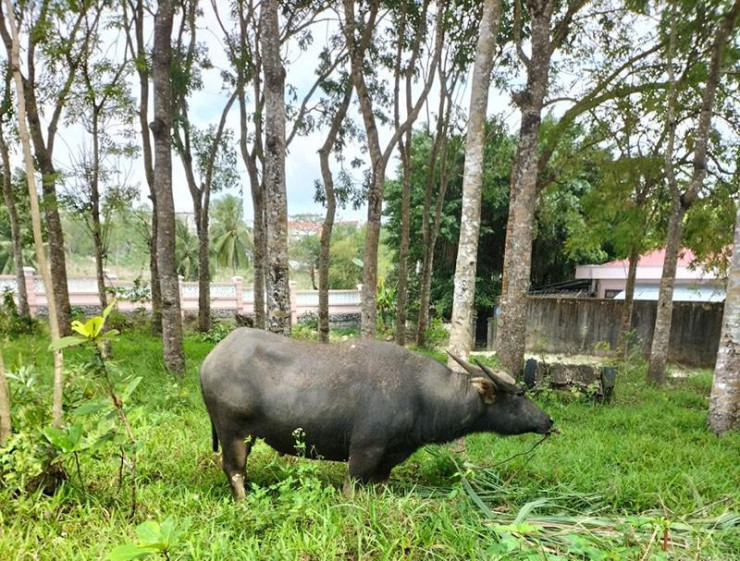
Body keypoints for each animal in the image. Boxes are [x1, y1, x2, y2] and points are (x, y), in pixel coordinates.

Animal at [199, 326, 552, 496]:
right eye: (520, 394)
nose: (548, 420)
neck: (421, 395)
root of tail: (211, 359)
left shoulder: (391, 456)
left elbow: (378, 488)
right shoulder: (364, 450)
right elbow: (350, 490)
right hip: (233, 433)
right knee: (234, 470)